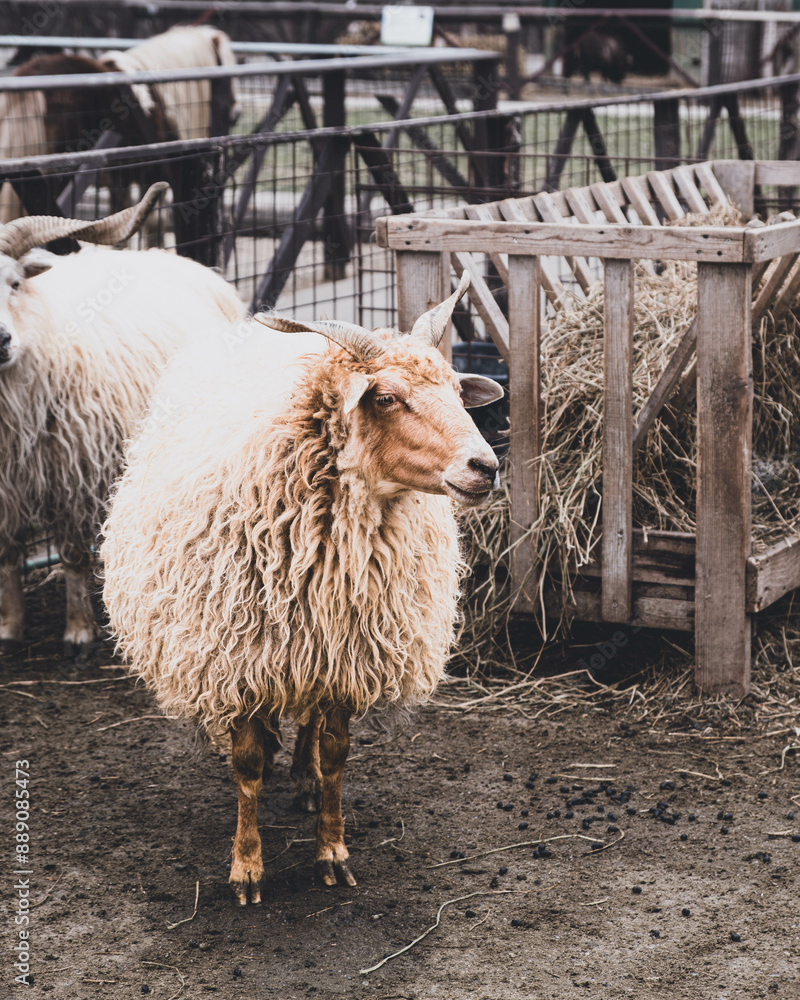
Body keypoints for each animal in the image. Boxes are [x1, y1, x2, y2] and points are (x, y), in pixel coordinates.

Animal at [0, 183, 245, 655]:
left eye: (15, 283)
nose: (1, 340)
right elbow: (7, 554)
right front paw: (9, 626)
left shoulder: (73, 474)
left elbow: (73, 554)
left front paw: (78, 630)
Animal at [102, 272, 503, 902]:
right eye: (385, 397)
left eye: (459, 394)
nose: (485, 467)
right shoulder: (238, 657)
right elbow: (244, 767)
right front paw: (246, 867)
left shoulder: (345, 657)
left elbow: (336, 757)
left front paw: (332, 852)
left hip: (314, 647)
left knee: (308, 724)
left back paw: (303, 778)